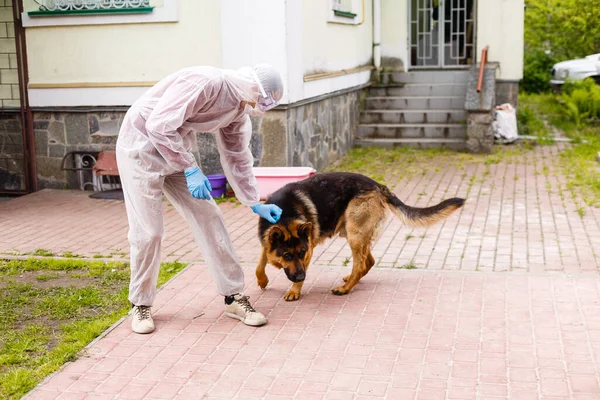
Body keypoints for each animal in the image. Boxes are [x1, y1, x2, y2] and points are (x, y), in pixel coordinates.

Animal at [253, 172, 464, 300]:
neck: (285, 215)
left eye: (302, 252)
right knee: (368, 261)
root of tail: (378, 185)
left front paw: (295, 290)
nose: (301, 276)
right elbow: (260, 264)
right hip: (353, 233)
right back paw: (350, 280)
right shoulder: (266, 243)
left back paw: (345, 288)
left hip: (354, 234)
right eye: (287, 255)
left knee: (361, 263)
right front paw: (262, 280)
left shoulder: (309, 249)